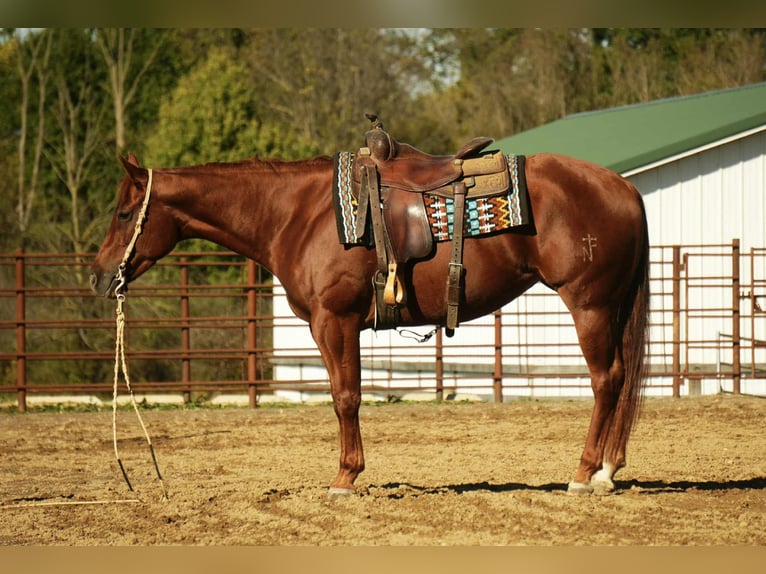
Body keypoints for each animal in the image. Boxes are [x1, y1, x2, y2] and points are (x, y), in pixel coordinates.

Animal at [90, 149, 649, 496]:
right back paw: (608, 470)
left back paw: (583, 474)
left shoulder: (333, 323)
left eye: (123, 214)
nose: (98, 276)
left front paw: (345, 477)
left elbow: (346, 397)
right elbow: (347, 397)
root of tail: (623, 188)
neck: (298, 214)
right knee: (622, 380)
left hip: (590, 305)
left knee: (606, 381)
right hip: (612, 307)